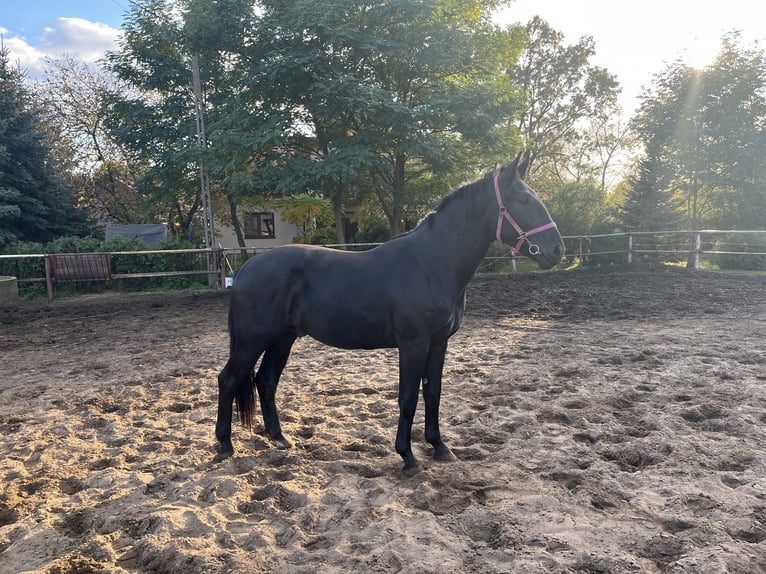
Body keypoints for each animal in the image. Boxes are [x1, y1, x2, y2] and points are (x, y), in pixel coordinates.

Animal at [216, 156, 564, 476]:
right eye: (523, 200)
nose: (557, 250)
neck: (430, 264)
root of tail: (247, 268)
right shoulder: (413, 344)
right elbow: (408, 398)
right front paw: (408, 457)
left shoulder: (439, 343)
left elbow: (433, 392)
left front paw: (440, 447)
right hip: (252, 340)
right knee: (229, 379)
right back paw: (224, 445)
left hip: (283, 337)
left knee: (266, 380)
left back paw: (279, 438)